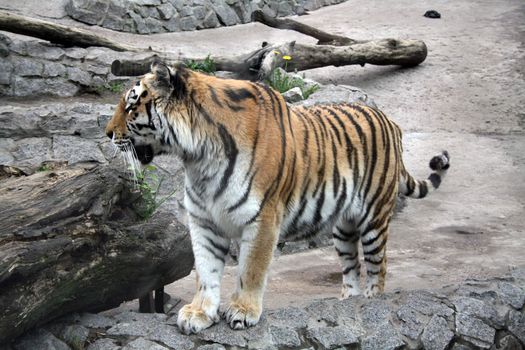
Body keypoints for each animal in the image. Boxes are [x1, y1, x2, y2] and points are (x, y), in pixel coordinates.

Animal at [104, 61, 448, 334]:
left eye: (131, 106)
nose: (107, 133)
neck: (197, 158)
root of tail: (389, 120)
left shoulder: (263, 217)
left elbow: (251, 270)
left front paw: (242, 312)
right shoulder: (203, 221)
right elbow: (206, 271)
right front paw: (199, 313)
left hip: (374, 219)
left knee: (379, 268)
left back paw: (373, 301)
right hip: (343, 227)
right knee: (351, 269)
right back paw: (348, 303)